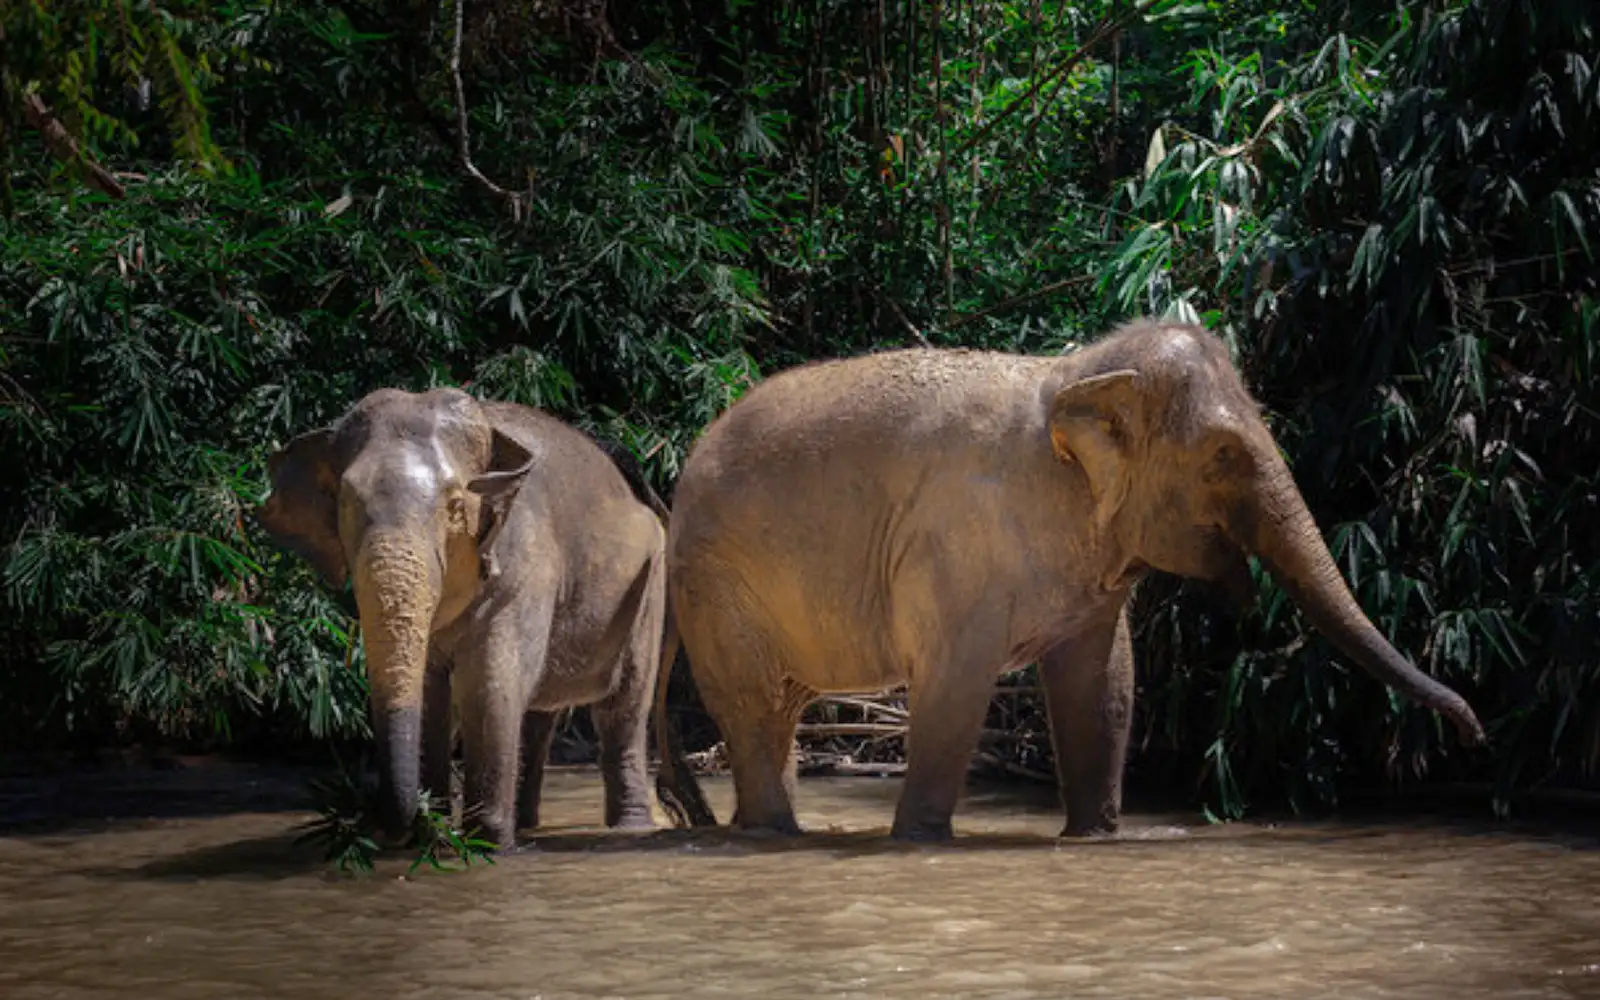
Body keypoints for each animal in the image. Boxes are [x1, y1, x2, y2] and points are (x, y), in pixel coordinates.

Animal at [257, 386, 675, 850]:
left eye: (456, 508)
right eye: (344, 504)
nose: (374, 820)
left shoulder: (526, 566)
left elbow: (489, 683)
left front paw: (485, 844)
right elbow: (430, 690)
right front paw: (432, 835)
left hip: (650, 582)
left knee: (622, 706)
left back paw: (630, 828)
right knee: (539, 714)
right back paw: (526, 824)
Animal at [657, 318, 1487, 843]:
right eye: (1223, 455)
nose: (1472, 732)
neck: (1076, 373)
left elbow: (1103, 681)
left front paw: (1096, 837)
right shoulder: (958, 540)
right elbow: (955, 681)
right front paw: (920, 841)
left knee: (777, 713)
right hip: (716, 585)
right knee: (754, 708)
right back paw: (772, 834)